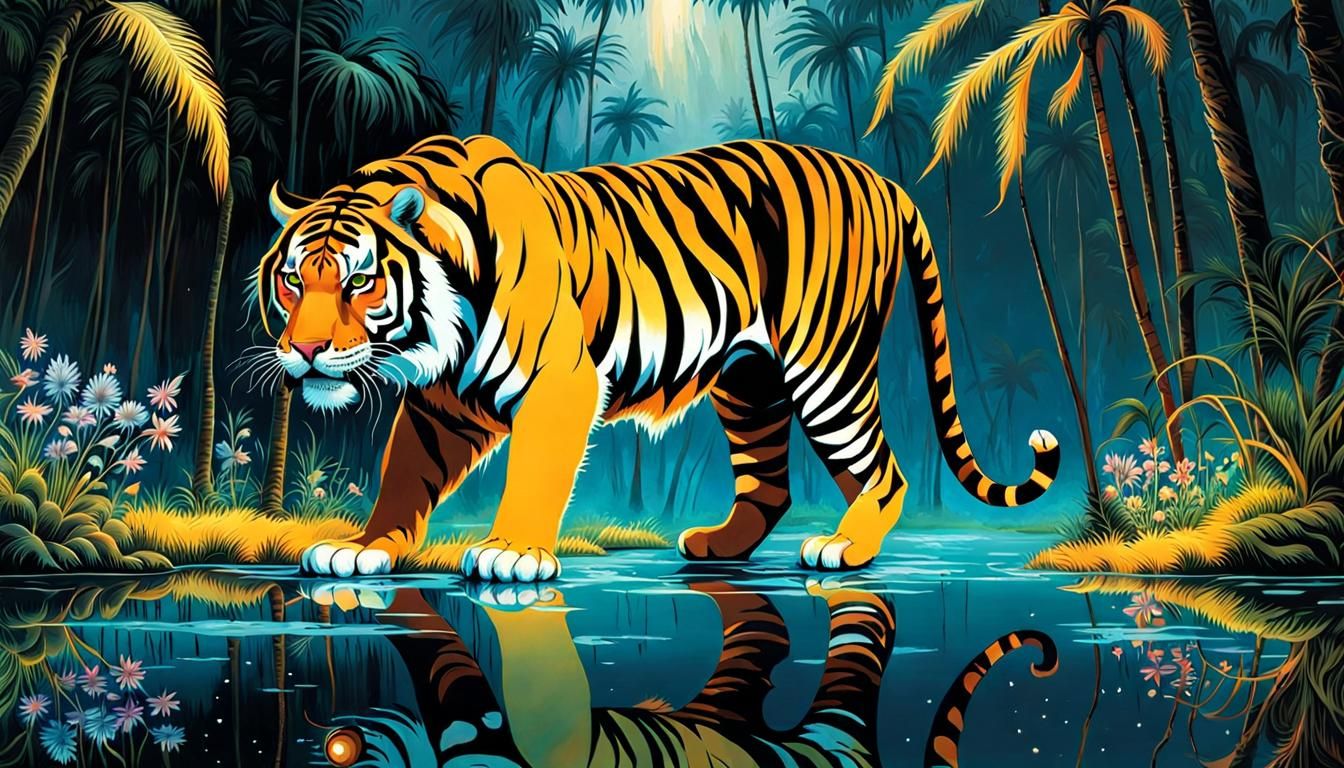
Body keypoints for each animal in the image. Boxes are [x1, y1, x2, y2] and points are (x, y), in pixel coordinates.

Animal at [259, 135, 1061, 582]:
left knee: (882, 471)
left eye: (360, 281)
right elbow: (403, 474)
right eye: (294, 279)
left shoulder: (561, 384)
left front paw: (512, 552)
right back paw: (719, 545)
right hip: (750, 383)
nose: (305, 350)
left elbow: (533, 475)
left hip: (825, 366)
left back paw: (846, 547)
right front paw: (364, 548)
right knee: (771, 485)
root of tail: (885, 180)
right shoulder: (443, 406)